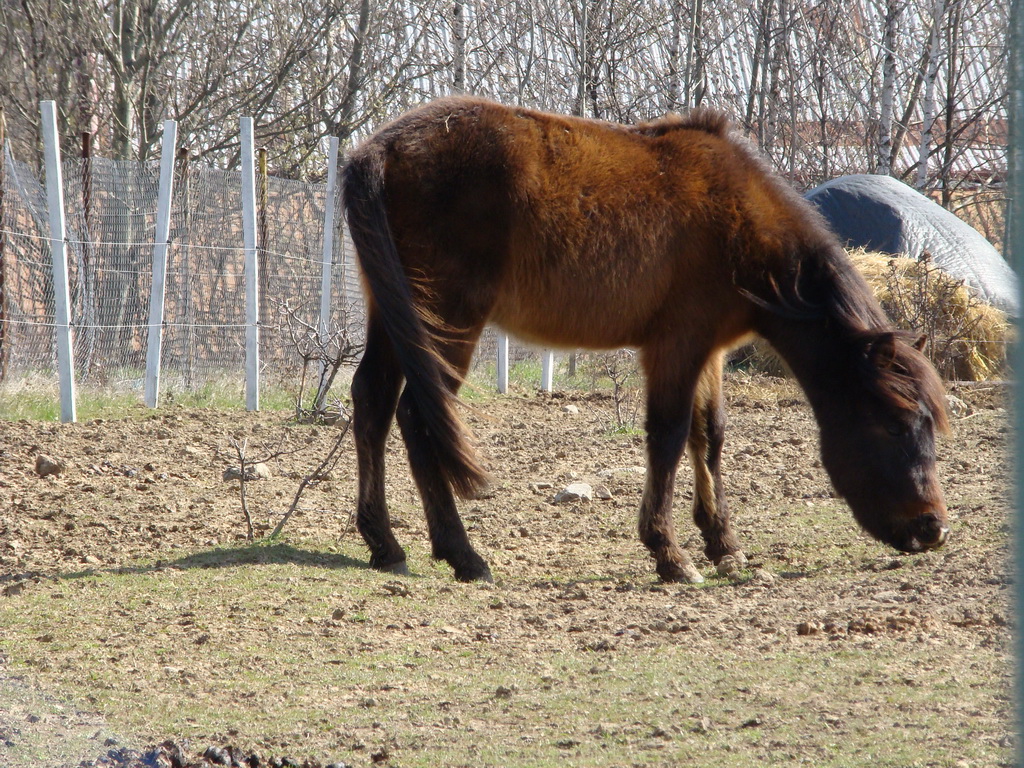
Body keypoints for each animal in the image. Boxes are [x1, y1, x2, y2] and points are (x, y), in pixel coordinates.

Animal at [344, 99, 950, 585]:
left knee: (373, 401)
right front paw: (670, 554)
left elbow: (710, 435)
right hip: (447, 322)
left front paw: (723, 545)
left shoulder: (710, 351)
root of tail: (380, 149)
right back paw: (462, 554)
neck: (741, 218)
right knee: (418, 417)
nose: (932, 529)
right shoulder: (675, 347)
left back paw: (385, 543)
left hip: (396, 317)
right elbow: (669, 435)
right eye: (895, 424)